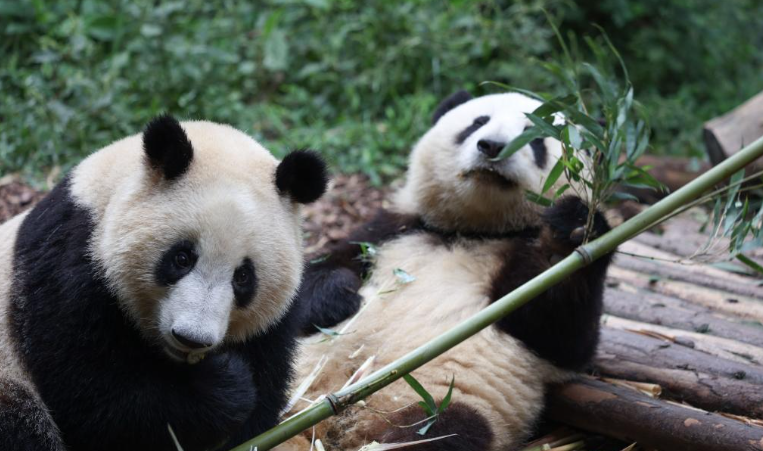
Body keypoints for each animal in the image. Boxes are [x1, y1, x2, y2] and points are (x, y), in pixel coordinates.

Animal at [0, 116, 329, 451]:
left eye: (243, 276)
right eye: (182, 258)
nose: (192, 338)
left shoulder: (272, 325)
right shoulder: (69, 267)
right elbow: (94, 395)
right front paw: (223, 386)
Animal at [286, 91, 613, 450]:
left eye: (537, 138)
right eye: (478, 122)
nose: (492, 146)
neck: (475, 230)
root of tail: (334, 425)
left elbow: (563, 333)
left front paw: (570, 232)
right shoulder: (391, 230)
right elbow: (311, 276)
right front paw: (337, 295)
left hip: (437, 401)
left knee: (442, 431)